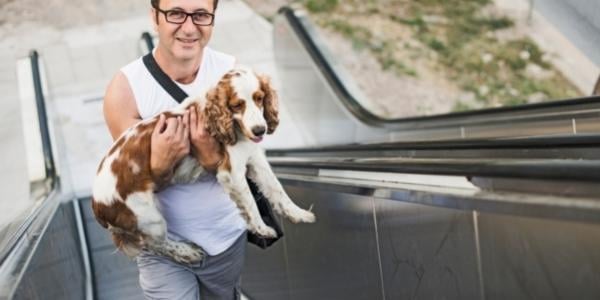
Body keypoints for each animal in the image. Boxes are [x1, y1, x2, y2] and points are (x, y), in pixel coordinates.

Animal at [92, 67, 316, 262]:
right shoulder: (232, 173)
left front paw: (298, 214)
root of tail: (97, 205)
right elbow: (251, 203)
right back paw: (188, 252)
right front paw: (262, 228)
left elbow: (277, 190)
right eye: (237, 105)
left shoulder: (255, 159)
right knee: (157, 244)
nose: (260, 130)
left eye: (259, 98)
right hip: (149, 219)